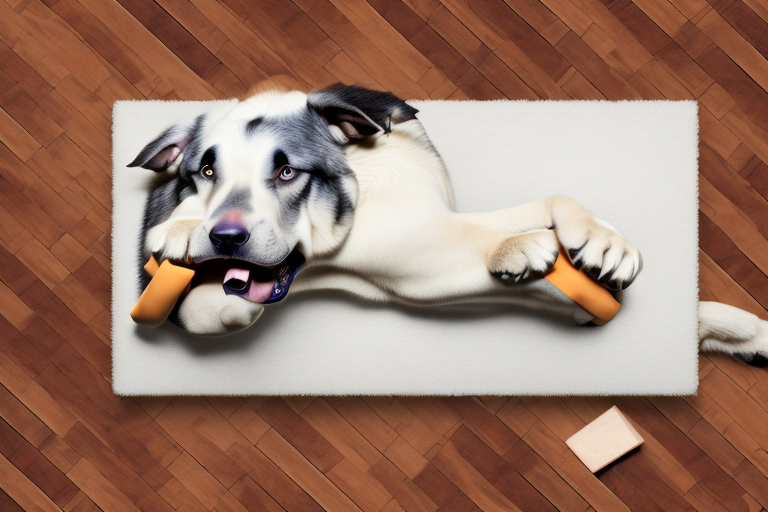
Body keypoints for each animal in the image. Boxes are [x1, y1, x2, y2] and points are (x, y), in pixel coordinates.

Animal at [129, 83, 768, 364]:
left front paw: (603, 243)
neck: (367, 174)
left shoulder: (437, 222)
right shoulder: (426, 253)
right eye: (206, 170)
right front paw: (518, 249)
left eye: (287, 172)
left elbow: (555, 202)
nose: (225, 236)